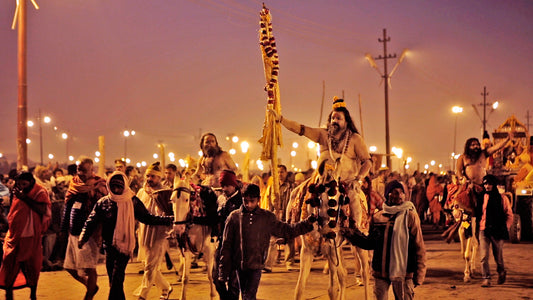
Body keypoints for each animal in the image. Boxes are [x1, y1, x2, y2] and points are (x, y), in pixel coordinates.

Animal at [290, 158, 370, 298]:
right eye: (318, 198)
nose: (329, 231)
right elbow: (299, 288)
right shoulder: (307, 250)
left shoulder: (331, 250)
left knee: (365, 273)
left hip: (360, 244)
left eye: (340, 200)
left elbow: (332, 289)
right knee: (343, 275)